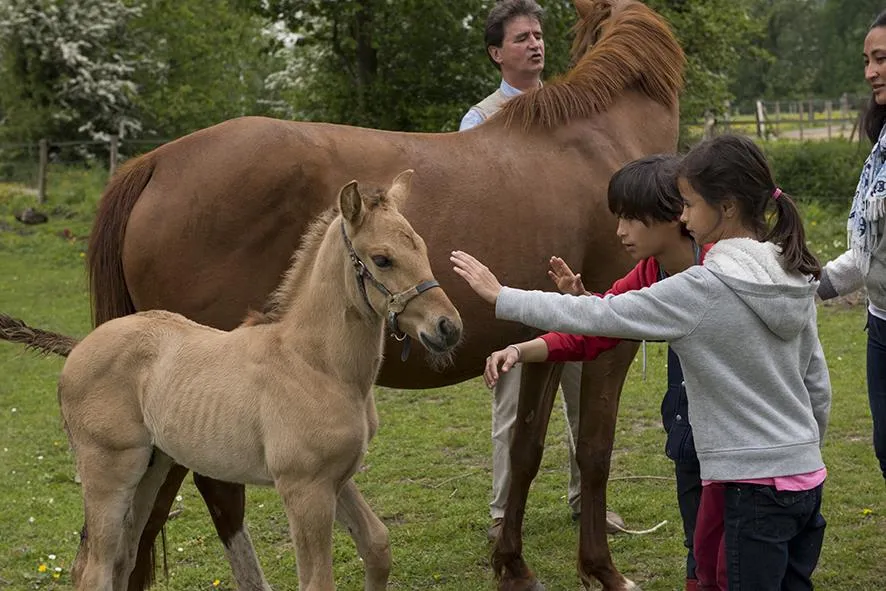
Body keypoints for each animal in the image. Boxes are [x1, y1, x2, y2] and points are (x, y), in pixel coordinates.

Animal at [3, 175, 464, 591]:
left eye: (421, 247)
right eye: (383, 259)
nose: (448, 327)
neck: (316, 364)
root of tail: (79, 345)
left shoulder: (338, 477)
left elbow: (377, 547)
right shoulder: (305, 487)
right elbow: (317, 581)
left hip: (153, 465)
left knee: (120, 559)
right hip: (109, 470)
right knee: (95, 571)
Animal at [86, 2, 684, 588]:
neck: (600, 141)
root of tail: (156, 163)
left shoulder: (544, 337)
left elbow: (526, 450)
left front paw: (512, 564)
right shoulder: (608, 339)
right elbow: (594, 452)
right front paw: (602, 570)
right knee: (208, 497)